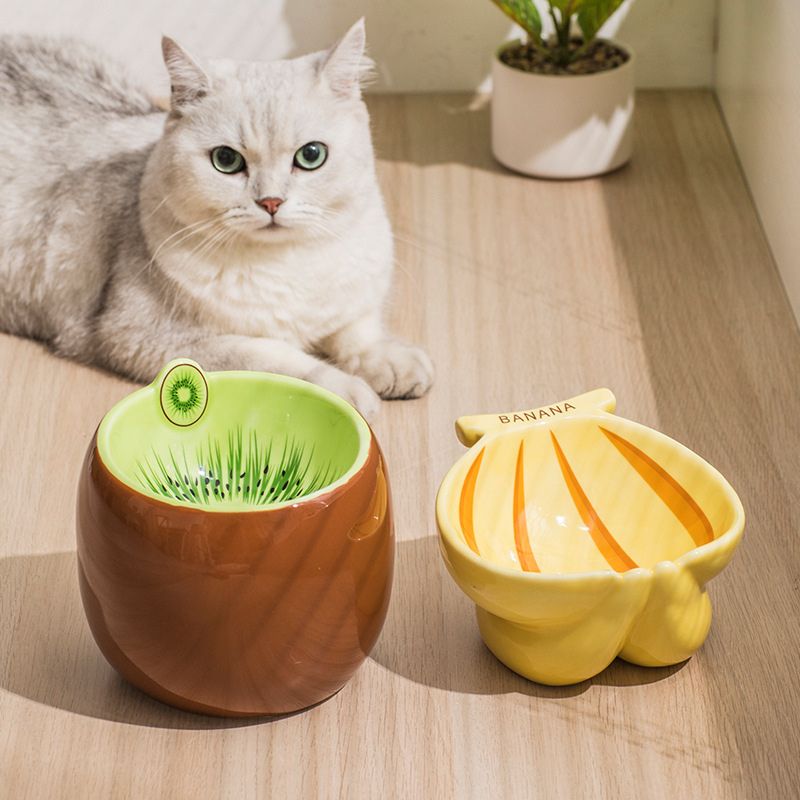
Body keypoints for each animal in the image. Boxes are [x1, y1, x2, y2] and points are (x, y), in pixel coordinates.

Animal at [0, 18, 432, 418]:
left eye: (311, 155)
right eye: (226, 160)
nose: (271, 201)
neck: (288, 265)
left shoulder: (350, 303)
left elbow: (357, 332)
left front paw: (392, 361)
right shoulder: (146, 336)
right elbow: (275, 356)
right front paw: (344, 388)